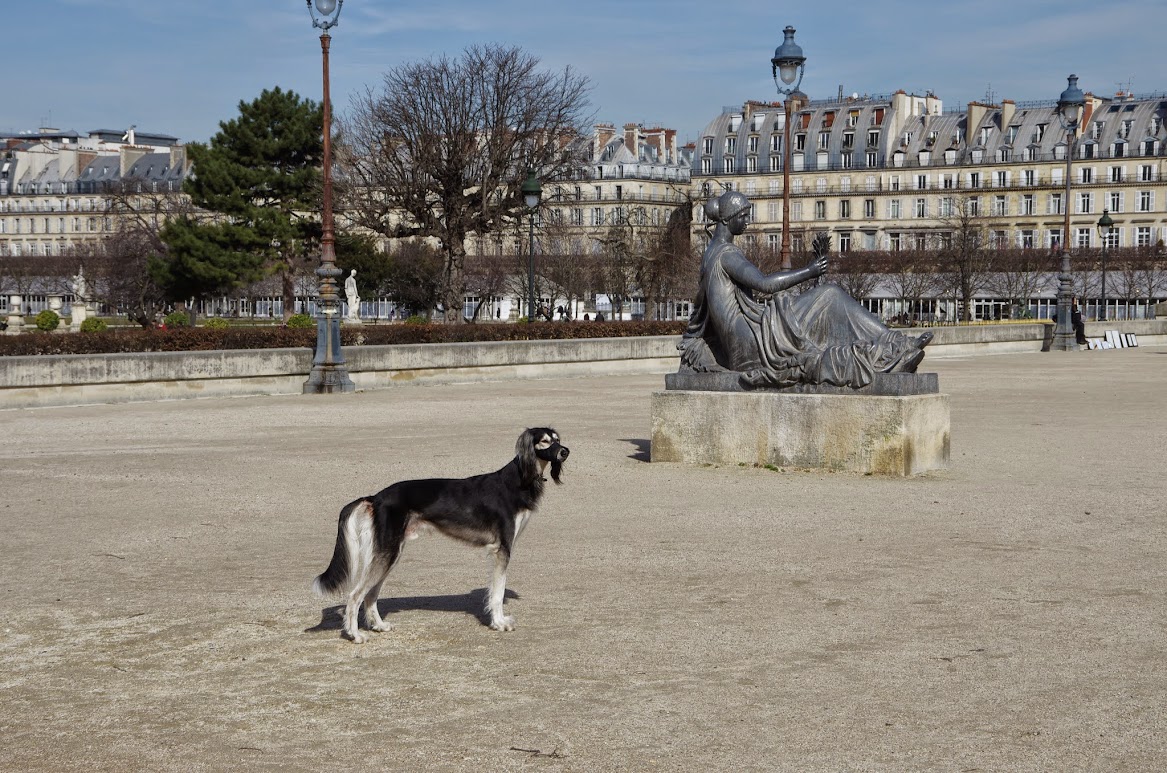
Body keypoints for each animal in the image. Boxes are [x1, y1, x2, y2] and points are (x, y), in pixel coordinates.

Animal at [310, 429, 564, 639]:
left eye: (558, 439)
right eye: (544, 441)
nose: (565, 451)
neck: (517, 480)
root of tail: (376, 497)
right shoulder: (502, 549)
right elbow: (498, 592)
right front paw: (499, 623)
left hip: (391, 553)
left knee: (370, 595)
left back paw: (379, 626)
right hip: (387, 553)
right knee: (355, 596)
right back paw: (355, 635)